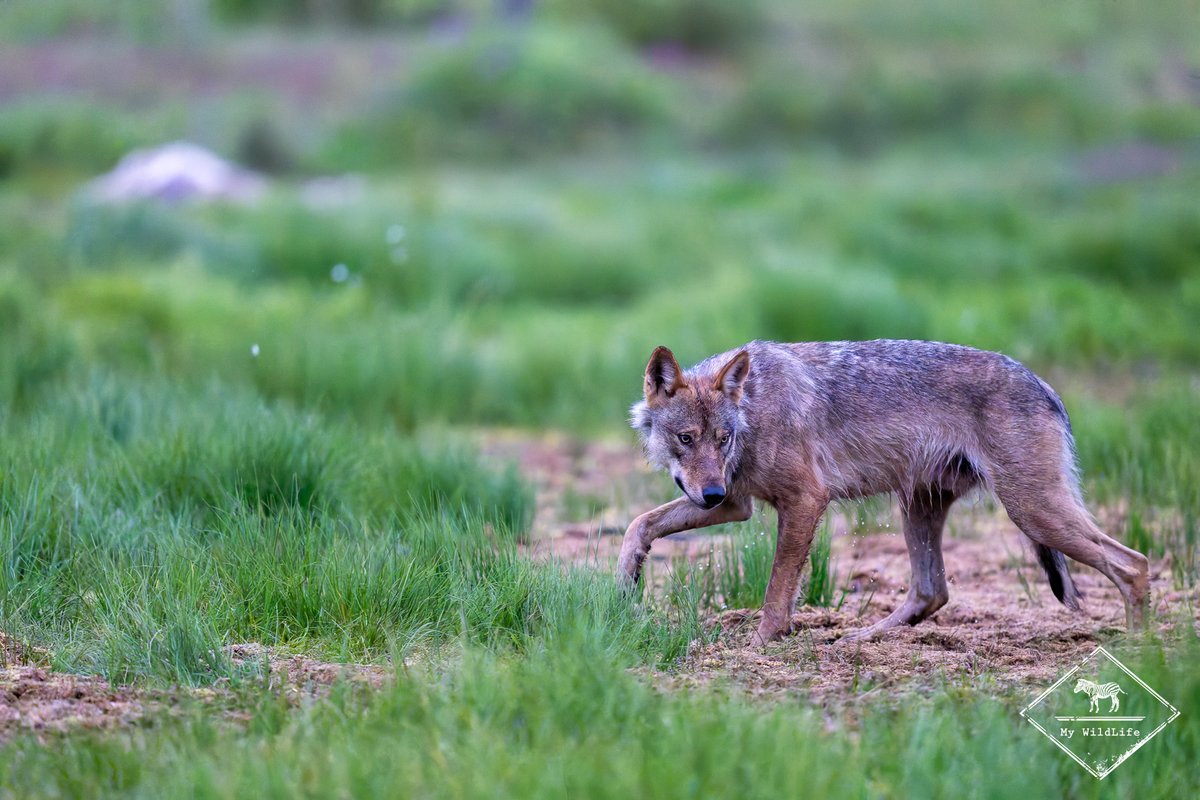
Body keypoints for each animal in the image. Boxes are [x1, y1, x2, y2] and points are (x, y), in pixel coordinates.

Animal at [617, 339, 1150, 645]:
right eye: (686, 438)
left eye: (722, 439)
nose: (709, 492)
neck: (754, 407)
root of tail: (1046, 387)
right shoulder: (735, 502)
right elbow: (638, 524)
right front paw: (624, 586)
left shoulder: (803, 501)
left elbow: (776, 591)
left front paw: (759, 647)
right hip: (921, 509)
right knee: (932, 592)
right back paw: (858, 638)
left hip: (1032, 511)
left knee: (1134, 564)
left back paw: (1140, 655)